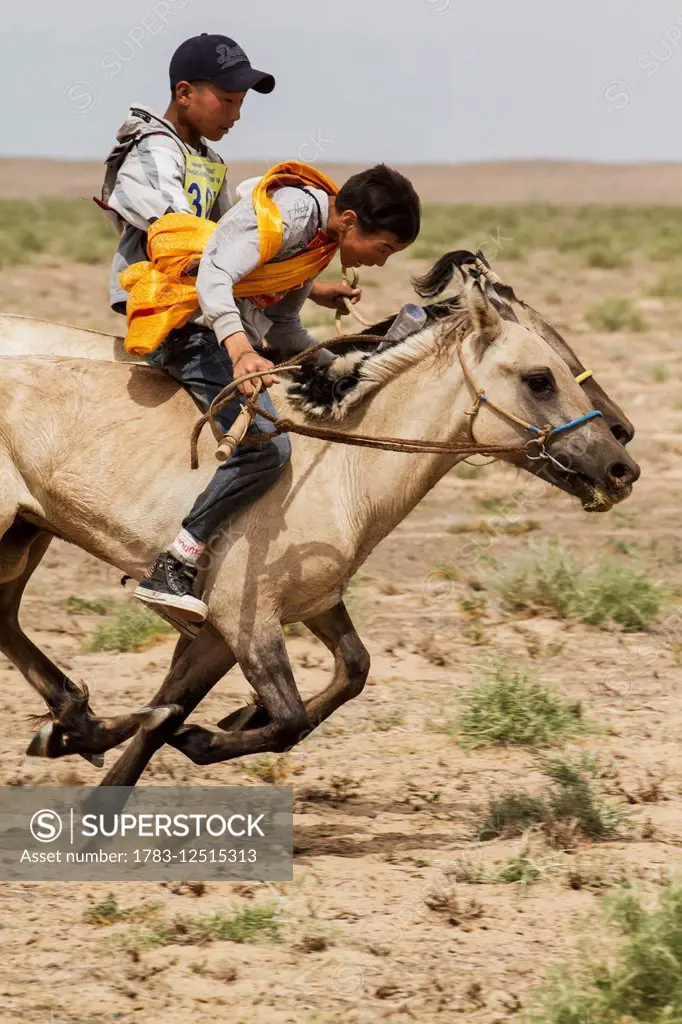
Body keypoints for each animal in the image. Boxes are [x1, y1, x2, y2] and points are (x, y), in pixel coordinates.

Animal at [0, 249, 638, 790]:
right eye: (540, 376)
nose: (621, 461)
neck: (341, 466)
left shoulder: (285, 611)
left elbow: (340, 675)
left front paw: (95, 744)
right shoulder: (245, 620)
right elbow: (274, 717)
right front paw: (197, 733)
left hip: (25, 536)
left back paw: (74, 718)